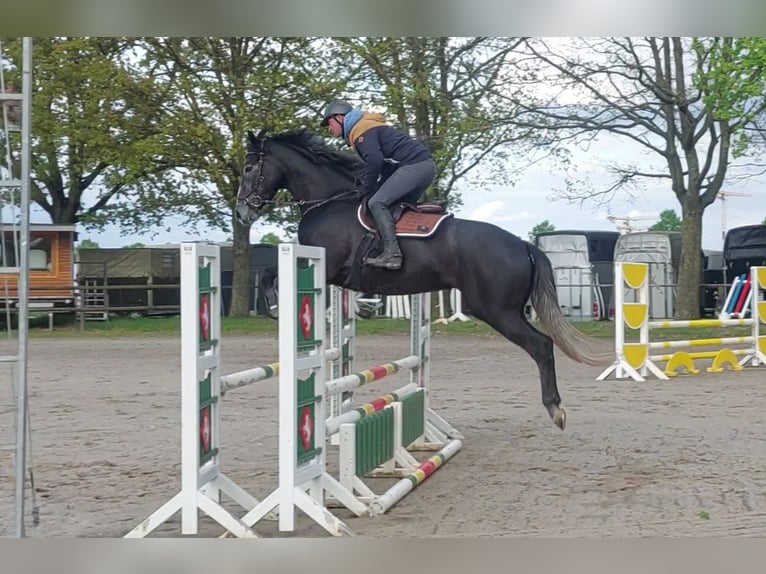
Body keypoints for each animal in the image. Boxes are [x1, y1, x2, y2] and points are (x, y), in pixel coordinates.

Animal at [234, 127, 612, 432]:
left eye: (249, 167)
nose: (241, 212)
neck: (328, 201)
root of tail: (522, 243)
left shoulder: (324, 266)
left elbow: (270, 273)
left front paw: (274, 307)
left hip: (496, 311)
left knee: (541, 346)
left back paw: (555, 409)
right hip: (506, 310)